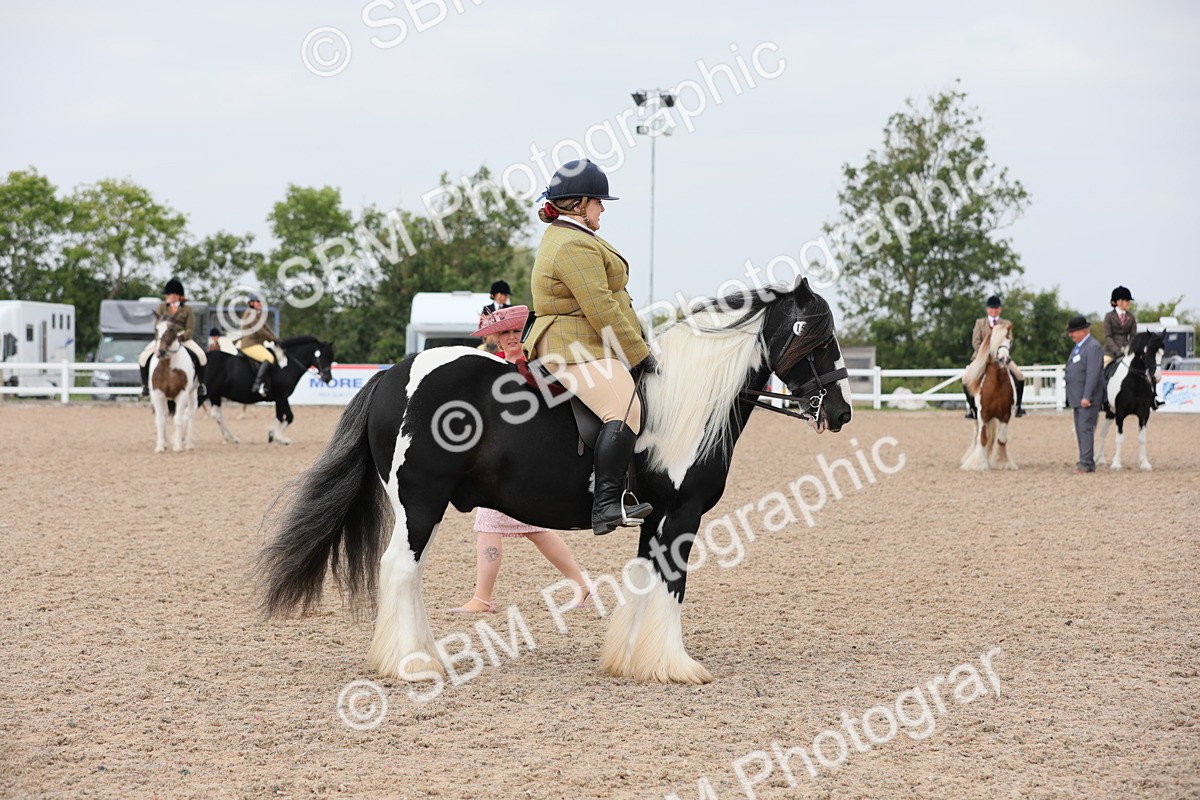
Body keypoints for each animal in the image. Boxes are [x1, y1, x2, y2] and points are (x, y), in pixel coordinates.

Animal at [148, 314, 200, 454]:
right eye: (156, 329)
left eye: (171, 329)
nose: (160, 352)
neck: (168, 365)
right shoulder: (157, 394)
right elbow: (160, 420)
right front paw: (160, 447)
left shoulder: (182, 394)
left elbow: (178, 419)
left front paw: (177, 446)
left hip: (193, 394)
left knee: (189, 415)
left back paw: (188, 443)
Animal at [203, 335, 335, 445]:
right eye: (322, 356)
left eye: (331, 357)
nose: (328, 378)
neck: (287, 365)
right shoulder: (281, 396)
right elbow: (288, 416)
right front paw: (281, 438)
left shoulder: (280, 397)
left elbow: (282, 415)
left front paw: (272, 434)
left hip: (215, 395)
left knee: (217, 415)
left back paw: (232, 438)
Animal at [257, 277, 854, 685]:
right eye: (819, 338)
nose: (841, 412)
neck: (685, 400)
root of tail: (391, 375)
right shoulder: (683, 515)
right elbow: (672, 585)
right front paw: (676, 666)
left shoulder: (654, 517)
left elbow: (645, 579)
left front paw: (630, 660)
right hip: (420, 501)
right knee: (400, 569)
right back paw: (412, 663)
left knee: (408, 573)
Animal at [961, 321, 1017, 471]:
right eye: (994, 342)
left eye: (1010, 342)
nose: (1005, 360)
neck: (996, 383)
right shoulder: (983, 414)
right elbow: (982, 439)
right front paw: (978, 464)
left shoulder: (1005, 415)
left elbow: (1001, 440)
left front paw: (1002, 463)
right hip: (976, 418)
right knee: (976, 436)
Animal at [1096, 331, 1165, 471]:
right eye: (1148, 353)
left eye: (1162, 354)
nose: (1156, 378)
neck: (1134, 381)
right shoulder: (1120, 413)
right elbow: (1120, 438)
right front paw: (1116, 464)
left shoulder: (1144, 414)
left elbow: (1142, 438)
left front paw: (1144, 464)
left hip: (1110, 413)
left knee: (1102, 433)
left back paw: (1100, 460)